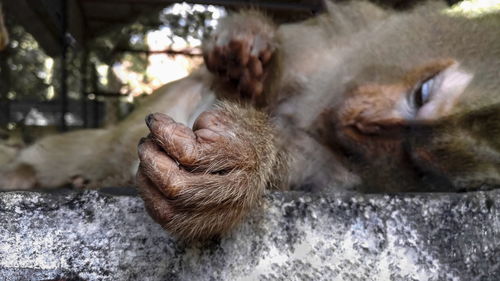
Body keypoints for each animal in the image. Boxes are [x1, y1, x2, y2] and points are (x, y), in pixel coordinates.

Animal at [135, 1, 500, 240]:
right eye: (422, 94)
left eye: (419, 165)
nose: (365, 123)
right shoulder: (340, 36)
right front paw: (246, 45)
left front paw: (244, 154)